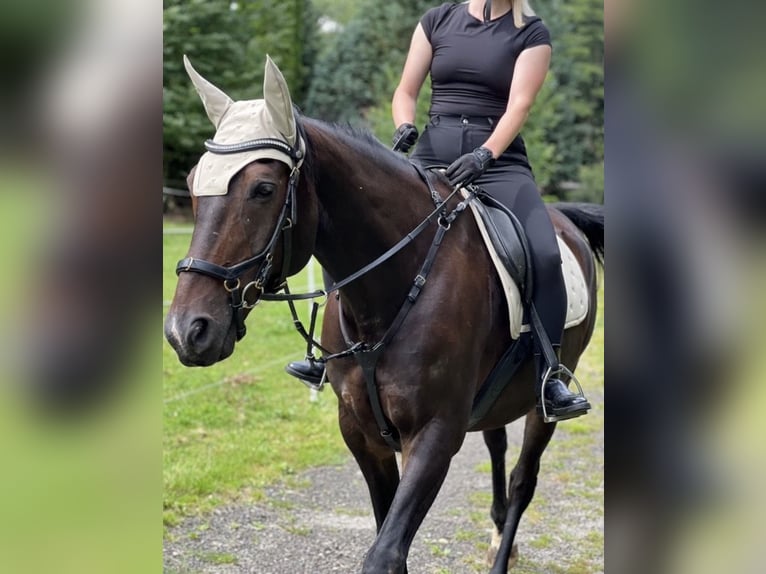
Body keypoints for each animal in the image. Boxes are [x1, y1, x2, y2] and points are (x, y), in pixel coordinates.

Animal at [165, 57, 603, 574]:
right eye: (192, 183)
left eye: (264, 189)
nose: (186, 331)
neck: (395, 287)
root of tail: (566, 220)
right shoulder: (360, 432)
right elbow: (386, 532)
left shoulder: (434, 435)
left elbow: (385, 553)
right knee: (497, 445)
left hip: (546, 401)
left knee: (523, 479)